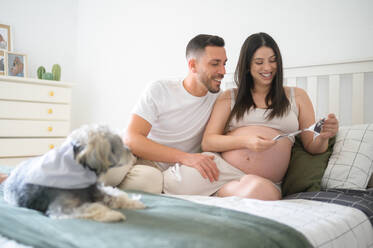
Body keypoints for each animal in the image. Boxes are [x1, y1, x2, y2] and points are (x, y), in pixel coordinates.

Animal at [3, 125, 145, 222]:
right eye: (118, 145)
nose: (131, 151)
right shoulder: (62, 208)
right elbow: (93, 208)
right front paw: (112, 214)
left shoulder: (95, 192)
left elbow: (114, 197)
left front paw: (134, 203)